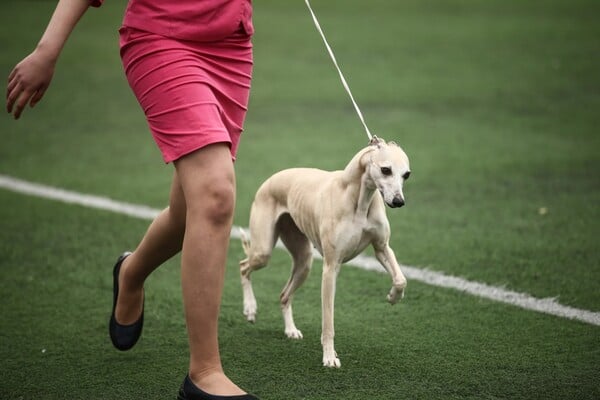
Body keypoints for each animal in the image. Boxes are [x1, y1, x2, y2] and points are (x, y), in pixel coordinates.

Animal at [241, 136, 410, 368]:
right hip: (263, 251)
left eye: (407, 174)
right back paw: (250, 309)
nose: (398, 202)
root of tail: (272, 178)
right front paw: (330, 357)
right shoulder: (331, 268)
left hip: (304, 262)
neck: (358, 198)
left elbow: (401, 279)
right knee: (244, 267)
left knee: (284, 295)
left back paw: (290, 330)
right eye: (386, 170)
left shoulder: (382, 247)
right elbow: (328, 322)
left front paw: (393, 297)